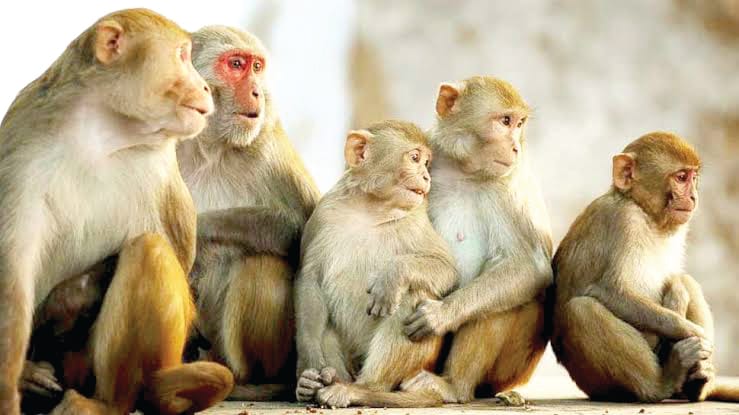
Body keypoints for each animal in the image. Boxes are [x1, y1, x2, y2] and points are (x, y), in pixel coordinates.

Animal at [0, 9, 234, 415]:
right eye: (182, 56)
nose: (205, 88)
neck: (104, 132)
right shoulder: (22, 145)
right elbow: (14, 274)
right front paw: (19, 379)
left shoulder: (160, 166)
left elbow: (177, 252)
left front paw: (64, 301)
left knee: (149, 250)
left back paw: (110, 402)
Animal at [175, 26, 321, 401]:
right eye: (236, 64)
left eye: (257, 67)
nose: (256, 91)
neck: (209, 146)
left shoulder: (268, 145)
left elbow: (302, 229)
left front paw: (198, 230)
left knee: (262, 261)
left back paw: (250, 384)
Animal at [294, 120, 458, 408]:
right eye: (415, 158)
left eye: (426, 163)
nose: (426, 177)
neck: (370, 210)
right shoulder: (323, 215)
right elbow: (310, 280)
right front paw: (309, 369)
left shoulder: (416, 220)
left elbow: (446, 268)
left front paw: (392, 277)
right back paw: (319, 384)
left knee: (413, 294)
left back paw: (362, 389)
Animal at [400, 77, 553, 406]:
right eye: (505, 121)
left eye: (519, 123)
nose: (515, 147)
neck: (463, 171)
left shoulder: (508, 185)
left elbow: (530, 266)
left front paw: (441, 314)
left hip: (513, 369)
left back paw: (454, 386)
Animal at [551, 131, 739, 403]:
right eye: (681, 178)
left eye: (694, 178)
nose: (693, 197)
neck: (644, 211)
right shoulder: (625, 221)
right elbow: (613, 292)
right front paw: (692, 332)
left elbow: (676, 280)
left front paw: (678, 293)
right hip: (595, 382)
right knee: (581, 309)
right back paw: (663, 381)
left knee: (689, 282)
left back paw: (698, 383)